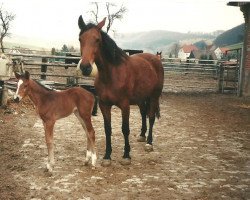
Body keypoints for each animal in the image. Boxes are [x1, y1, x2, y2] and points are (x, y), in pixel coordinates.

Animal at [77, 15, 164, 166]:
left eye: (97, 39)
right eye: (80, 39)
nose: (85, 67)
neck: (111, 74)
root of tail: (155, 59)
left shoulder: (124, 105)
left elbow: (125, 129)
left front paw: (126, 155)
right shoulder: (104, 105)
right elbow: (107, 129)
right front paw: (107, 156)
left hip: (154, 96)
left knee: (151, 117)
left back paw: (149, 143)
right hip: (141, 99)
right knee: (143, 114)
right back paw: (142, 135)